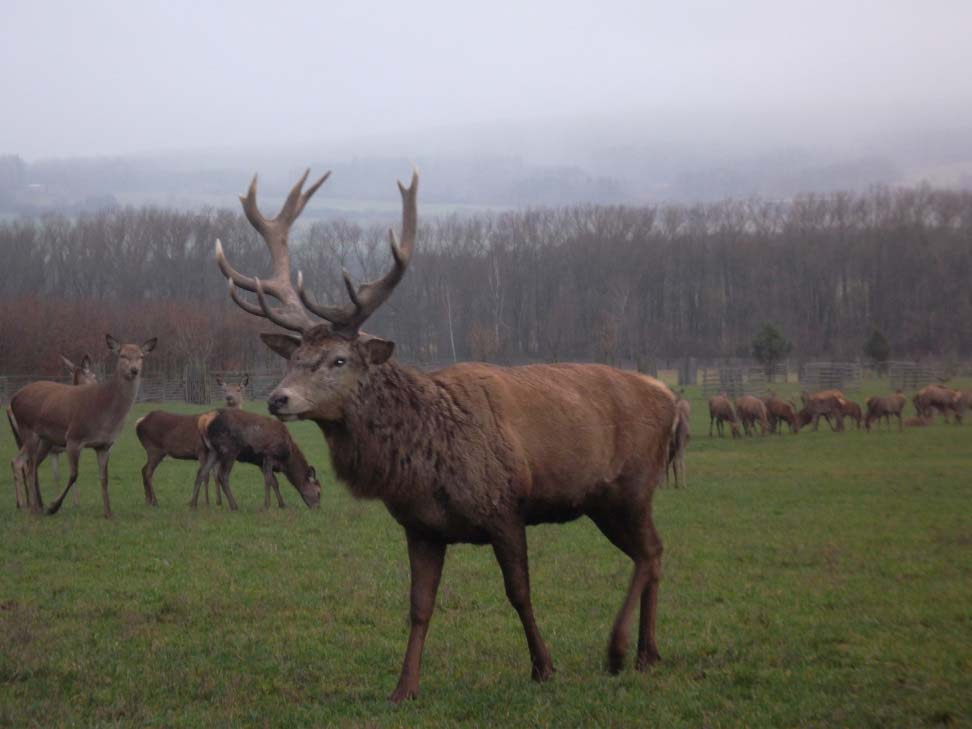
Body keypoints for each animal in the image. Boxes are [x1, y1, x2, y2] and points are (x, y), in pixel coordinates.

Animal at [8, 336, 157, 516]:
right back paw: (33, 508)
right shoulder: (73, 438)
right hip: (28, 431)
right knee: (27, 465)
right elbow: (73, 475)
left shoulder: (105, 445)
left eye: (141, 356)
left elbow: (104, 478)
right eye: (122, 355)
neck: (105, 416)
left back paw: (31, 506)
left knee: (25, 463)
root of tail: (13, 398)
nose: (134, 370)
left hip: (44, 440)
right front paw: (53, 506)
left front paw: (108, 513)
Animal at [137, 372, 251, 504]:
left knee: (144, 470)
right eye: (225, 389)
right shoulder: (201, 450)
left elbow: (215, 475)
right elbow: (206, 475)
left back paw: (148, 501)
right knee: (147, 472)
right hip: (154, 448)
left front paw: (219, 502)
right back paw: (154, 501)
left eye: (238, 389)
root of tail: (140, 421)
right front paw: (206, 502)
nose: (229, 397)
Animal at [191, 406, 322, 510]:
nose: (317, 508)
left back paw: (193, 504)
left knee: (201, 473)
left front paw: (282, 504)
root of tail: (205, 420)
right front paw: (266, 505)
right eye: (318, 492)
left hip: (212, 450)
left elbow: (274, 482)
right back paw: (234, 506)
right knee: (222, 476)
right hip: (229, 449)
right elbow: (268, 480)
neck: (286, 458)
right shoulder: (269, 454)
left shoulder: (260, 462)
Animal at [216, 169, 680, 700]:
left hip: (631, 486)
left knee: (650, 552)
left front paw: (543, 666)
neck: (428, 461)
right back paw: (647, 653)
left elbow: (519, 593)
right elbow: (419, 606)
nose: (278, 399)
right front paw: (404, 688)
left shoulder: (505, 506)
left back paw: (619, 651)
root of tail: (670, 398)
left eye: (339, 359)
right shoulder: (421, 526)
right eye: (293, 357)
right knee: (652, 553)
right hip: (603, 503)